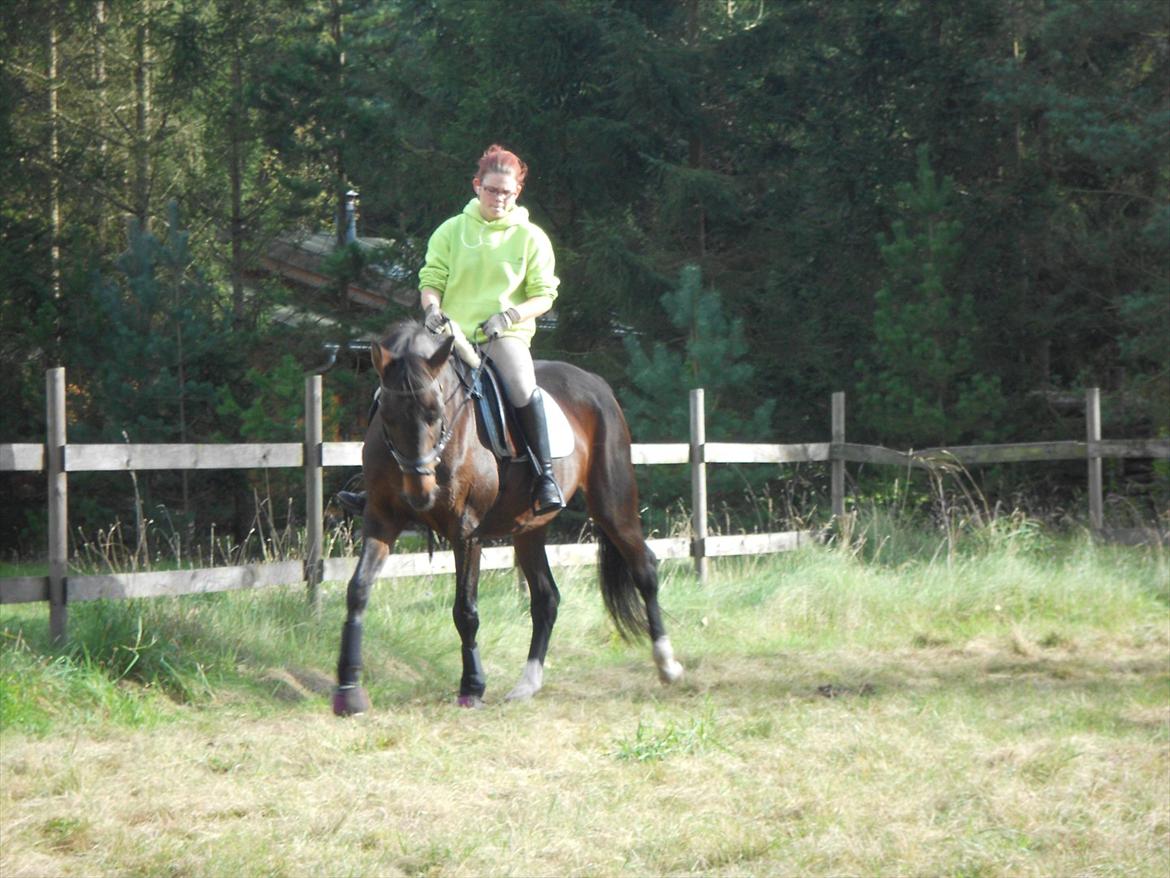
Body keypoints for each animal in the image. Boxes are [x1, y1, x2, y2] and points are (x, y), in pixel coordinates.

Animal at [333, 319, 684, 714]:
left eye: (435, 412)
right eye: (387, 416)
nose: (421, 495)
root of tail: (596, 383)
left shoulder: (466, 532)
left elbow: (465, 610)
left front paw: (472, 686)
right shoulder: (381, 520)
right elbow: (358, 591)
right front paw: (348, 687)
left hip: (612, 506)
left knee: (645, 569)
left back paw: (667, 664)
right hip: (528, 528)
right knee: (546, 598)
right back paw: (527, 683)